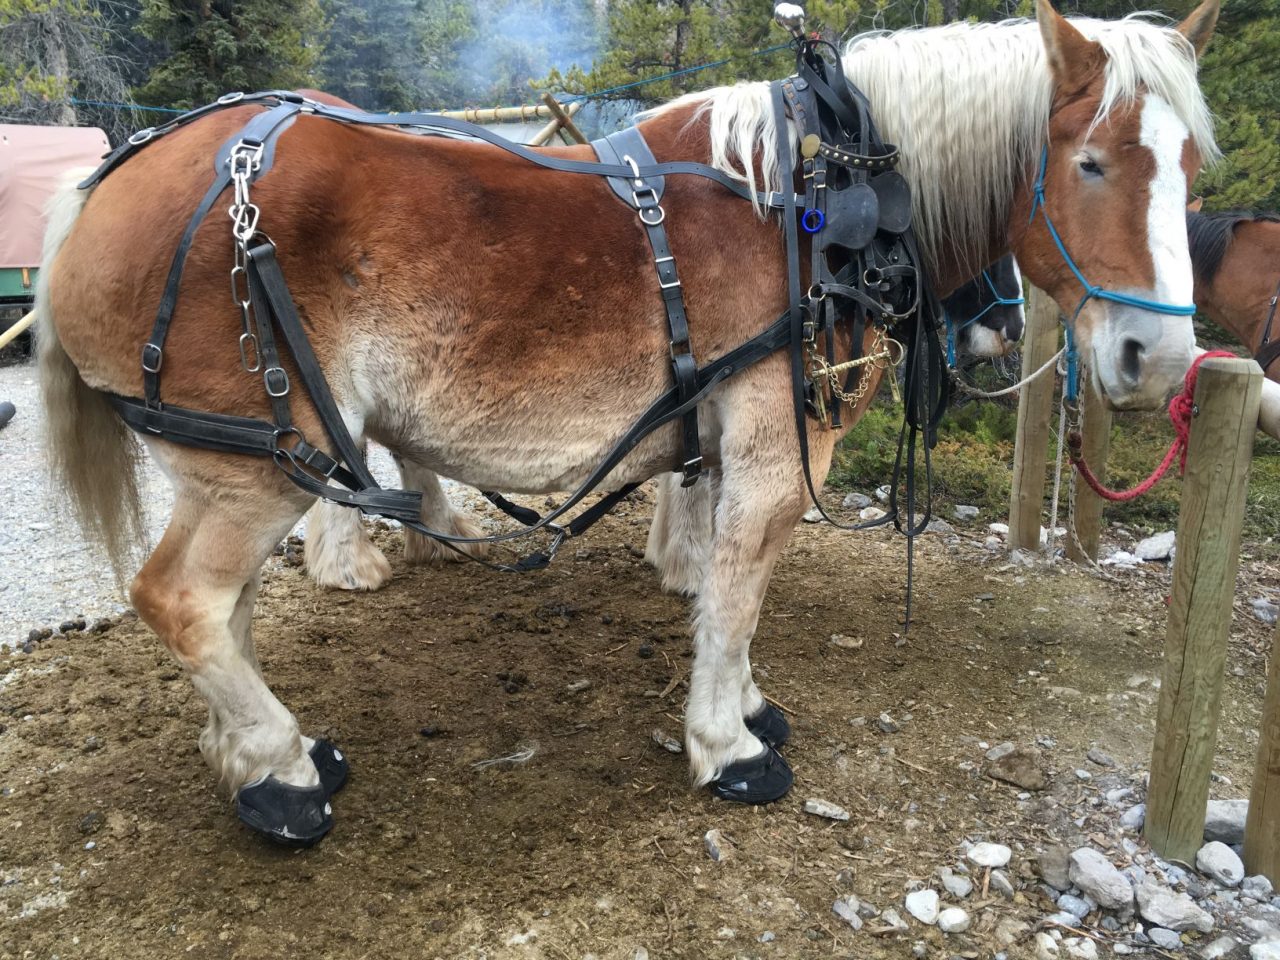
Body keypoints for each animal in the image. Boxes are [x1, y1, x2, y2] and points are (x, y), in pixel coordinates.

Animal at [304, 257, 1029, 593]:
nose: (1012, 328)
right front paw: (690, 565)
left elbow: (692, 472)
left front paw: (680, 557)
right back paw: (351, 562)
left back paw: (435, 532)